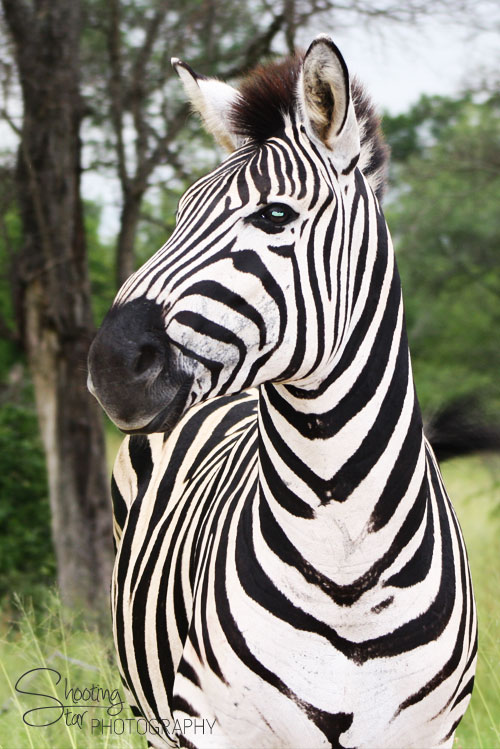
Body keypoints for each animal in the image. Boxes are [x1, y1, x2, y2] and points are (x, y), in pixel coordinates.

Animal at [88, 35, 477, 749]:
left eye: (274, 215)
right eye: (180, 214)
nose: (110, 365)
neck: (346, 559)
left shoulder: (425, 732)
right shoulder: (216, 725)